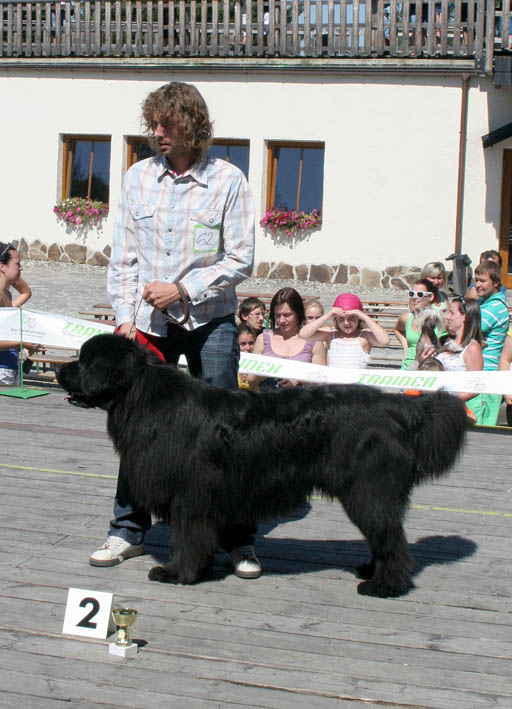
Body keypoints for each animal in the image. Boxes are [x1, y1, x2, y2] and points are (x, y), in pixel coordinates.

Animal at [56, 334, 467, 598]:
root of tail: (395, 407)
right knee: (383, 537)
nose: (59, 371)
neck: (144, 397)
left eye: (84, 360)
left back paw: (384, 585)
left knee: (392, 540)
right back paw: (371, 570)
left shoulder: (190, 497)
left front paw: (176, 573)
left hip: (368, 490)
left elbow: (185, 539)